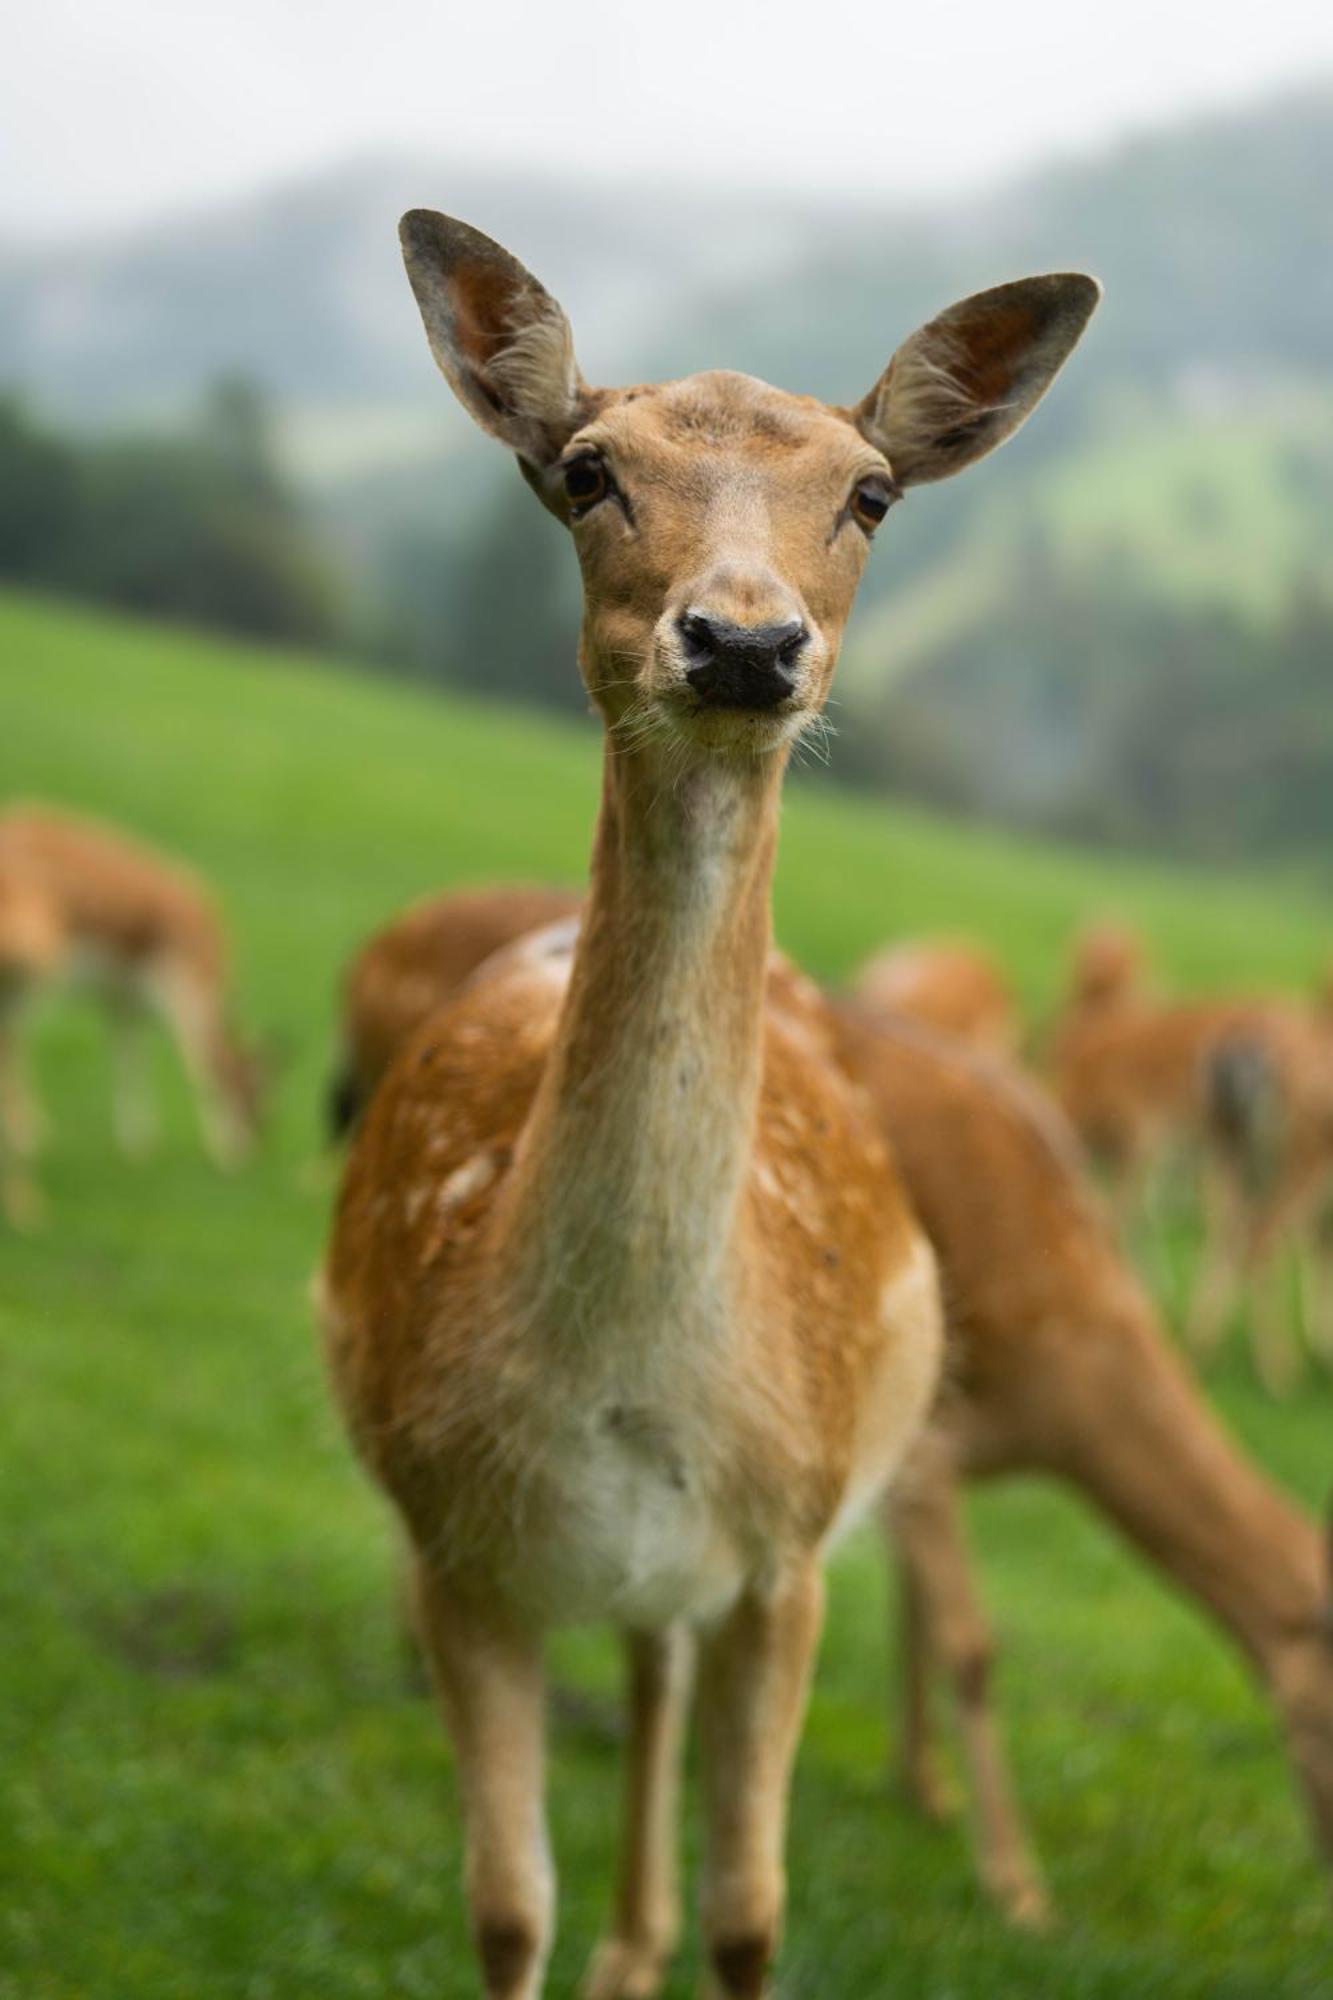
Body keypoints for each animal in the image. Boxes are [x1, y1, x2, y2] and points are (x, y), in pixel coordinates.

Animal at [0, 800, 264, 1216]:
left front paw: (136, 1145)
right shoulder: (177, 985)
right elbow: (196, 1062)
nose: (251, 1148)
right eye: (254, 1098)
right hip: (35, 974)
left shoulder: (121, 999)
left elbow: (129, 1056)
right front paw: (220, 1155)